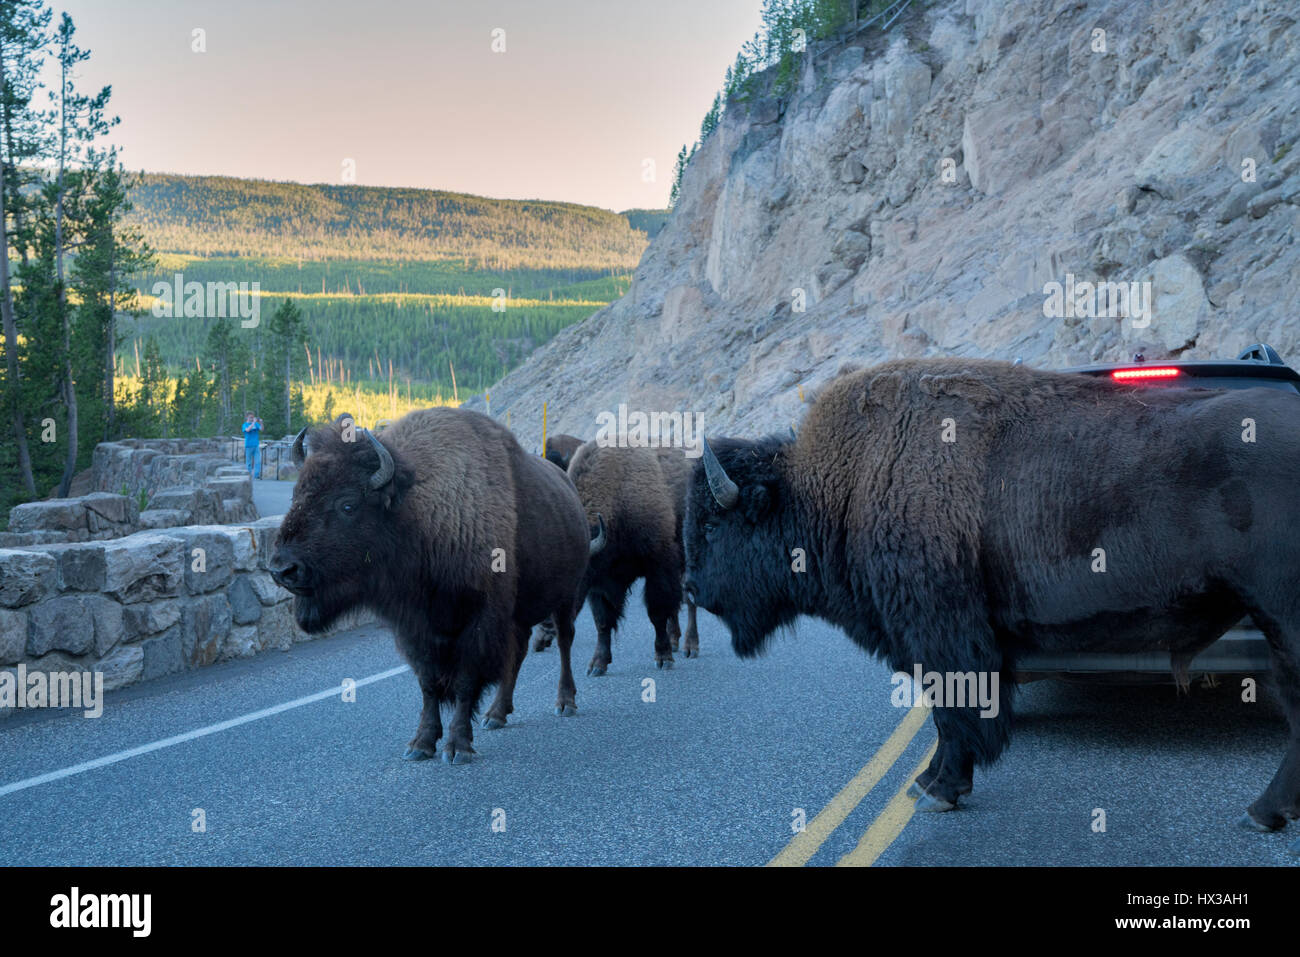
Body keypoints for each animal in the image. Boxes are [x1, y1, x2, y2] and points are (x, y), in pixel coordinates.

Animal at [271, 410, 592, 764]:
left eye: (348, 505)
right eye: (296, 494)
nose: (283, 569)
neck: (419, 514)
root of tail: (570, 491)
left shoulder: (477, 623)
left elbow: (465, 681)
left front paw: (458, 747)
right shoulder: (415, 628)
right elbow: (428, 684)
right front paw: (421, 744)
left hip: (566, 597)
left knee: (564, 642)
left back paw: (565, 702)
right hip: (520, 615)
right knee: (518, 653)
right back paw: (496, 714)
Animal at [686, 358, 1300, 842]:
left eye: (714, 526)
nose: (692, 587)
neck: (845, 486)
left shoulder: (941, 634)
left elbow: (953, 712)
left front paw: (941, 789)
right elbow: (946, 714)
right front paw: (927, 782)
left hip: (1282, 619)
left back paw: (1261, 812)